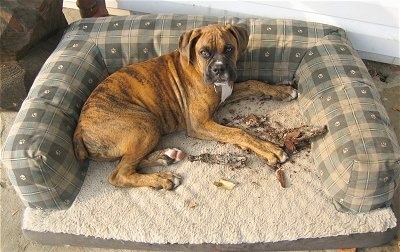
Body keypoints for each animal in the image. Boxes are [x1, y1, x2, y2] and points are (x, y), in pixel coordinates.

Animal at [72, 24, 296, 189]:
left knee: (128, 162)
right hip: (145, 125)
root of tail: (79, 128)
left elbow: (253, 83)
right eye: (204, 52)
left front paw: (282, 91)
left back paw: (165, 156)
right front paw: (269, 149)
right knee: (120, 173)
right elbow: (238, 132)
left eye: (229, 49)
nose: (219, 69)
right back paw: (163, 178)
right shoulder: (200, 124)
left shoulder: (227, 93)